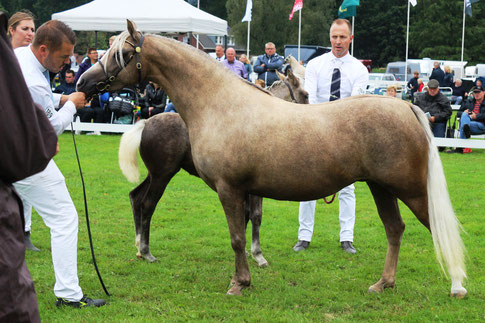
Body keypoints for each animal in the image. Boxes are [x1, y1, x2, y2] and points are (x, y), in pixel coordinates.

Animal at [118, 72, 306, 268]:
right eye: (305, 94)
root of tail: (146, 123)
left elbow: (245, 215)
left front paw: (246, 251)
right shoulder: (254, 190)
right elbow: (256, 215)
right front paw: (258, 255)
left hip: (154, 175)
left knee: (135, 197)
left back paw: (139, 247)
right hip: (162, 176)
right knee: (147, 205)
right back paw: (146, 252)